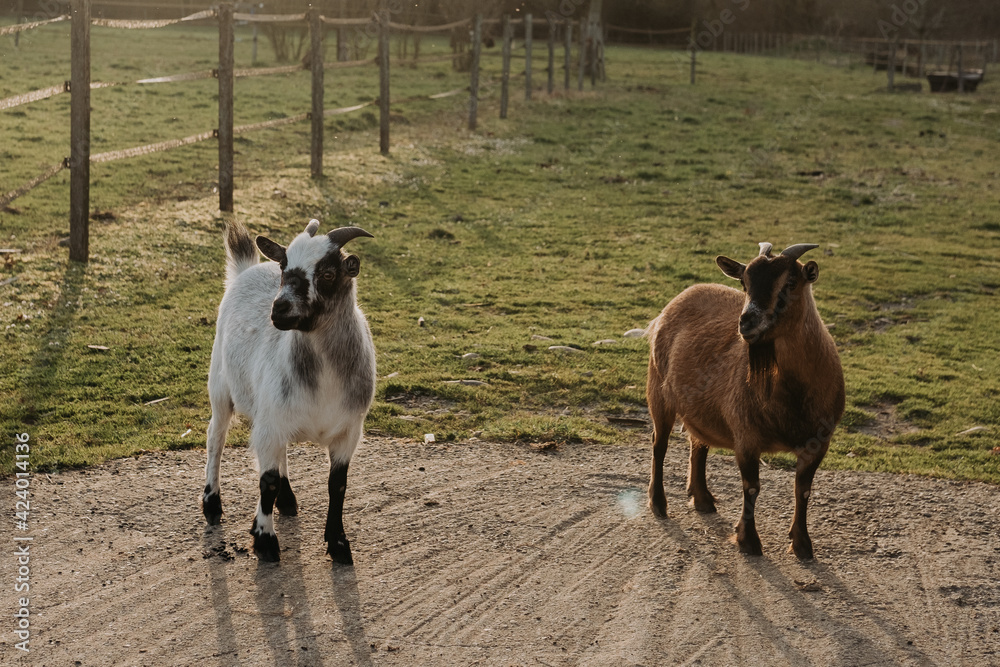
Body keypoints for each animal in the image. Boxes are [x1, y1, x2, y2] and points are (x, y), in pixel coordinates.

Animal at [201, 218, 376, 564]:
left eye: (327, 273)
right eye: (284, 266)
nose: (280, 308)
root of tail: (247, 269)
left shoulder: (348, 431)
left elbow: (337, 485)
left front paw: (338, 543)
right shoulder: (269, 423)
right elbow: (265, 482)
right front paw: (265, 541)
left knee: (278, 453)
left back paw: (287, 499)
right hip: (221, 386)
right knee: (216, 438)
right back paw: (212, 504)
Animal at [646, 242, 844, 559]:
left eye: (791, 282)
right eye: (744, 283)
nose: (746, 322)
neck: (793, 396)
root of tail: (686, 292)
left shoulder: (818, 441)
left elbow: (802, 490)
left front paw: (802, 544)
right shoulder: (746, 436)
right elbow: (751, 488)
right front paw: (748, 541)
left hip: (699, 409)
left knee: (698, 443)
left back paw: (702, 499)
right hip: (658, 390)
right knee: (659, 444)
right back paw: (659, 504)